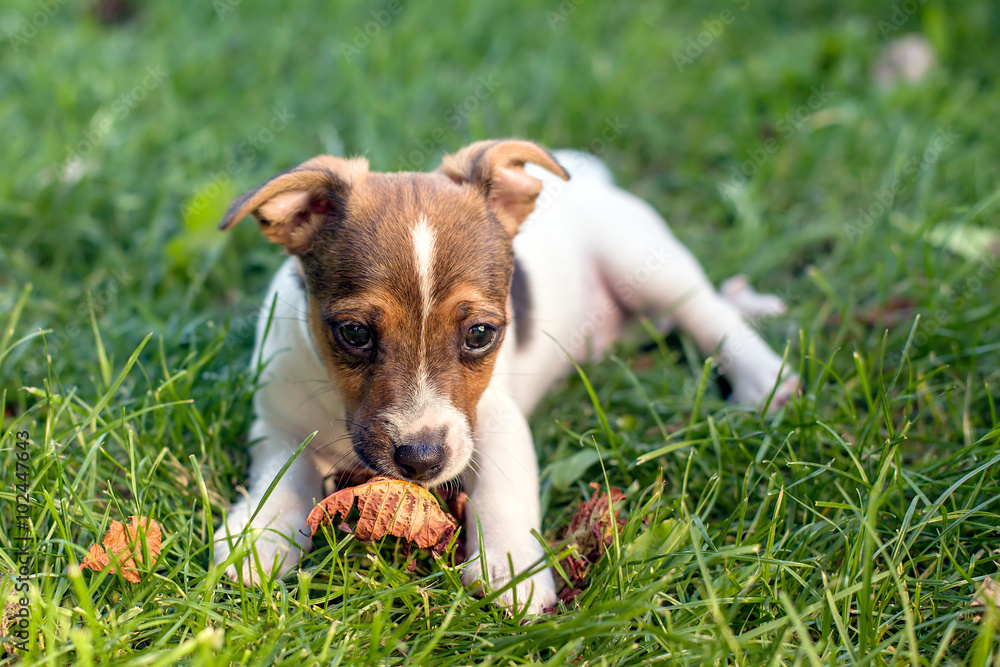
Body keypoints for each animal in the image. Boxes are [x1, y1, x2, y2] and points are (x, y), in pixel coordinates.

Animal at [213, 138, 796, 612]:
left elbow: (502, 486)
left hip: (644, 257)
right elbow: (284, 472)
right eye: (354, 333)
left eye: (479, 334)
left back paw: (763, 375)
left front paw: (511, 567)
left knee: (704, 307)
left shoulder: (490, 417)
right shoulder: (276, 421)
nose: (421, 460)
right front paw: (258, 533)